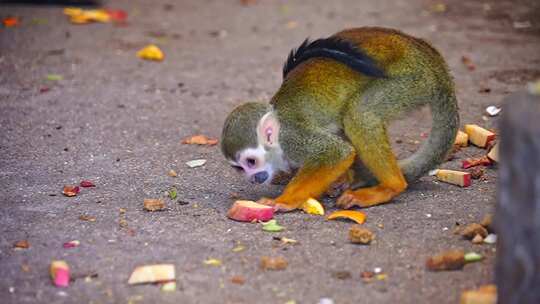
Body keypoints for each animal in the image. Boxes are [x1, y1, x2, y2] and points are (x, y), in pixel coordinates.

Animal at [219, 27, 460, 210]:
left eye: (251, 162)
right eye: (239, 168)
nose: (252, 178)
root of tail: (431, 57)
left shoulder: (292, 137)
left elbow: (336, 152)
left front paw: (285, 200)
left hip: (411, 81)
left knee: (358, 113)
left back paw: (390, 186)